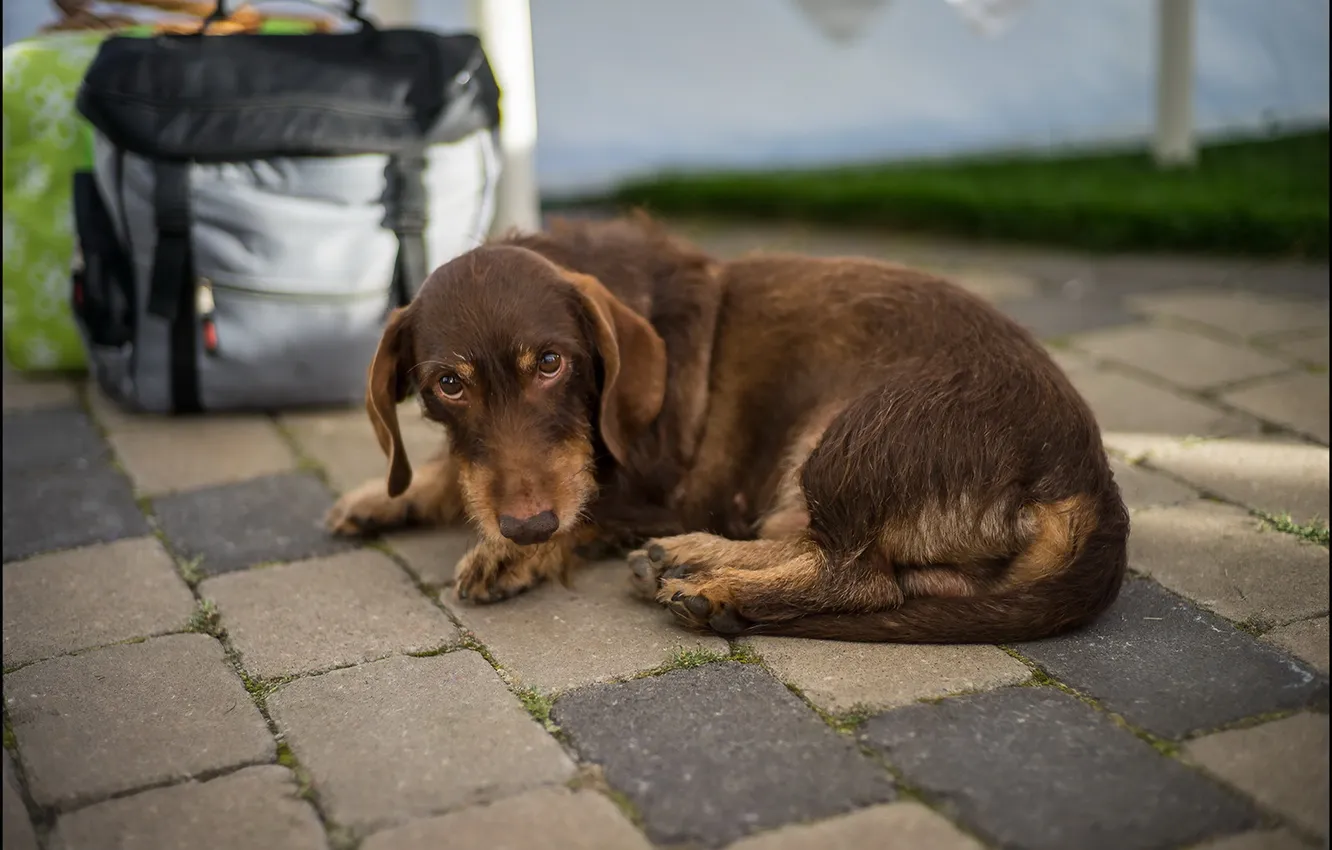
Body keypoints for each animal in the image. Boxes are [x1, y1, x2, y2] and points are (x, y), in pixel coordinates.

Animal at [327, 215, 1129, 642]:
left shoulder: (658, 491)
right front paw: (388, 495)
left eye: (552, 363)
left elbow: (589, 514)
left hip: (846, 437)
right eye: (448, 385)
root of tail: (1087, 480)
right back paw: (690, 561)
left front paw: (510, 555)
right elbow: (451, 471)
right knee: (843, 555)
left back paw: (721, 589)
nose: (526, 526)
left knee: (861, 577)